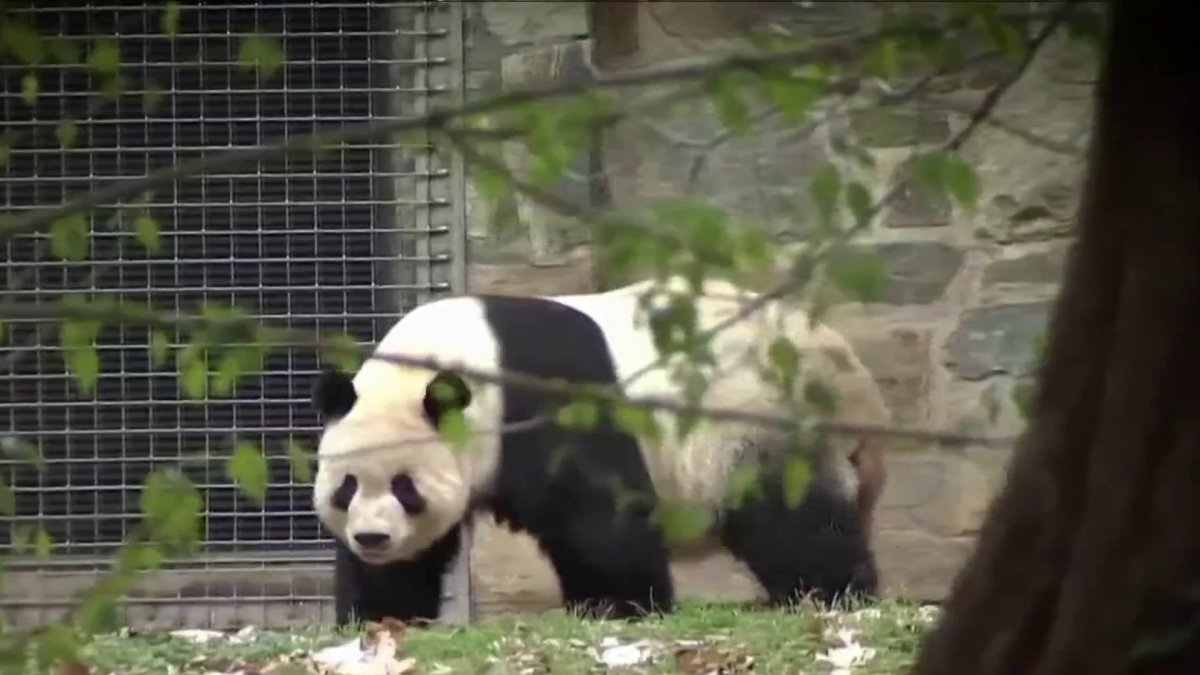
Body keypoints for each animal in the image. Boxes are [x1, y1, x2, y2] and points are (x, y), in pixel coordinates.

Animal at [309, 276, 892, 624]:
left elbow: (599, 509)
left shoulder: (546, 392)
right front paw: (382, 617)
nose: (373, 537)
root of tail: (857, 384)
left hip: (763, 420)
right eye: (346, 488)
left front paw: (620, 605)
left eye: (406, 488)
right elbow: (409, 565)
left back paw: (831, 594)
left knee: (793, 520)